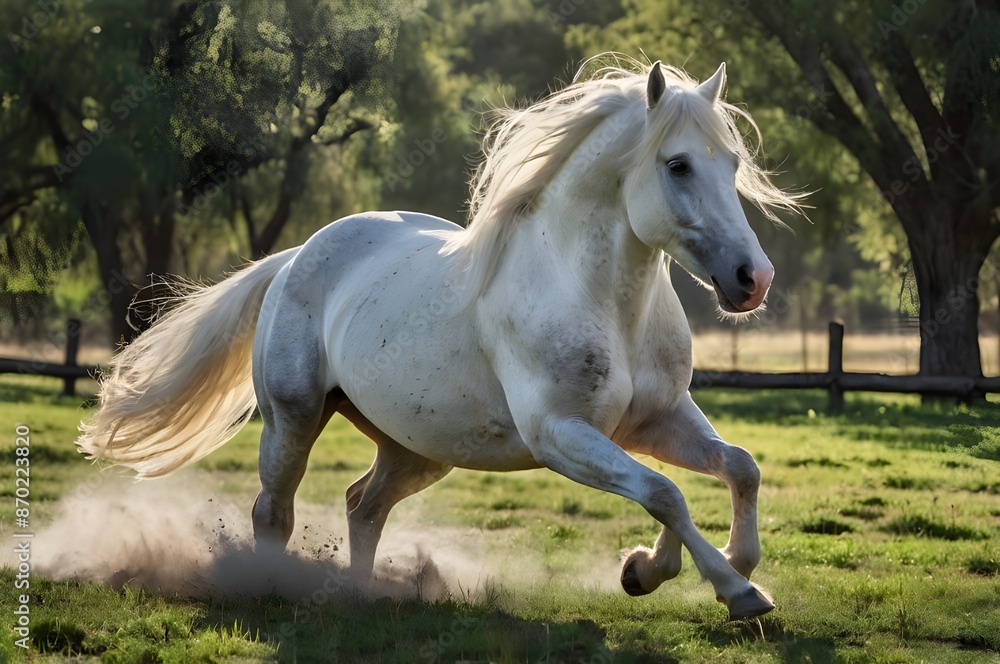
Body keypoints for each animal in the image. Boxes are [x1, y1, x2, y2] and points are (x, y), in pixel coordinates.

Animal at [78, 56, 803, 620]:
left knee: (363, 506)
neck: (599, 299)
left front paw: (664, 568)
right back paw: (274, 590)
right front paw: (731, 590)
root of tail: (293, 259)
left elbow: (736, 467)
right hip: (293, 420)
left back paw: (361, 595)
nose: (754, 279)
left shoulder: (655, 420)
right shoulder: (561, 435)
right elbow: (664, 494)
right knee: (273, 514)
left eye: (731, 162)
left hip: (417, 448)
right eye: (678, 165)